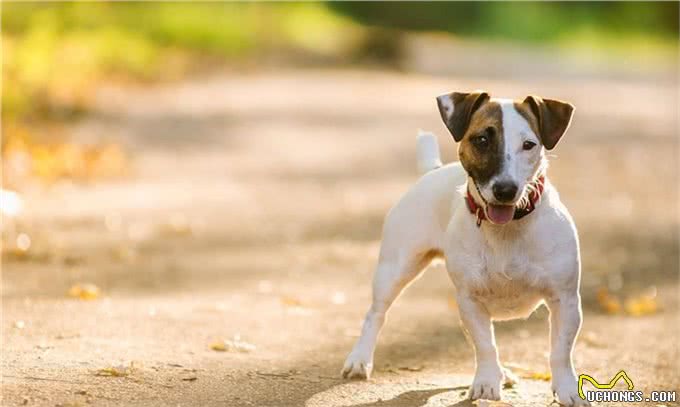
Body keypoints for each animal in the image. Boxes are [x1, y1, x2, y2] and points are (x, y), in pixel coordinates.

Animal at [342, 92, 588, 407]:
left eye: (529, 144)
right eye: (481, 140)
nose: (505, 190)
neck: (506, 230)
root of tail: (433, 171)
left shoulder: (565, 301)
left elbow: (560, 351)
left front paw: (568, 390)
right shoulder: (470, 301)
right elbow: (485, 346)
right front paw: (485, 383)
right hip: (396, 268)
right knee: (375, 314)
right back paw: (360, 359)